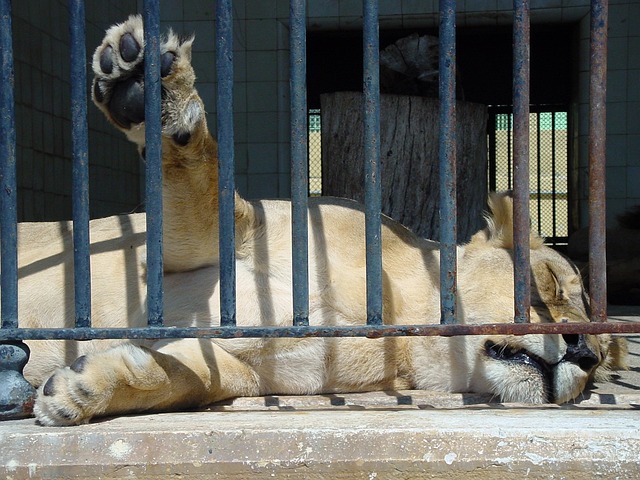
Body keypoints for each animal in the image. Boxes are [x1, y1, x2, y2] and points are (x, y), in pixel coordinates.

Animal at [7, 15, 628, 428]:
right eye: (550, 283)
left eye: (599, 369)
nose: (584, 354)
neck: (397, 321)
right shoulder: (199, 246)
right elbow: (202, 173)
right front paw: (153, 89)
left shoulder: (244, 369)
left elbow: (179, 379)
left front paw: (82, 390)